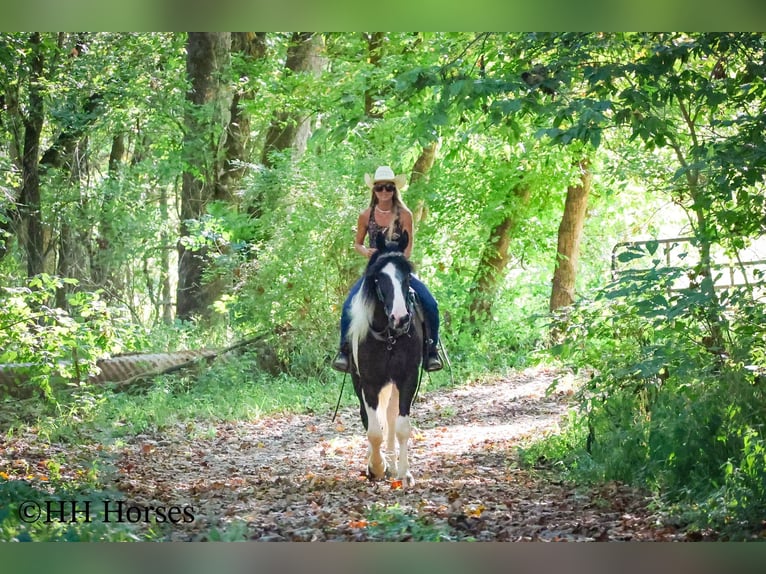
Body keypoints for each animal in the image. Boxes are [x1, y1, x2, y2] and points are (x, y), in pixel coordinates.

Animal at [347, 230, 423, 487]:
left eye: (407, 275)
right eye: (379, 278)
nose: (400, 318)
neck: (389, 336)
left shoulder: (408, 378)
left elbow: (400, 426)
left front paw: (403, 472)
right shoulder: (369, 383)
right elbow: (373, 431)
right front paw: (376, 468)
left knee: (389, 418)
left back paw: (391, 463)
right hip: (358, 381)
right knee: (370, 418)